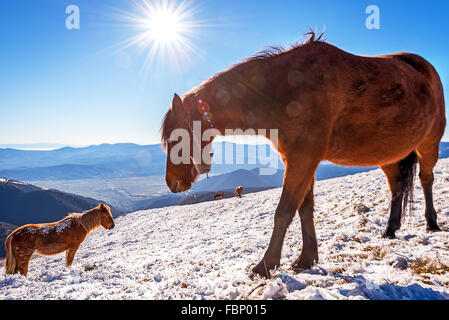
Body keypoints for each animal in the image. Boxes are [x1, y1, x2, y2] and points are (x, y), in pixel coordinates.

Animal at [161, 31, 444, 278]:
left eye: (175, 138)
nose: (172, 183)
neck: (285, 91)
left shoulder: (303, 160)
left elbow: (284, 211)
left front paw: (266, 265)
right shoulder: (299, 160)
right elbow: (304, 209)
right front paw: (307, 258)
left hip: (428, 143)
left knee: (426, 180)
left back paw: (432, 223)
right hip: (387, 156)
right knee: (397, 187)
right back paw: (390, 230)